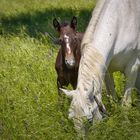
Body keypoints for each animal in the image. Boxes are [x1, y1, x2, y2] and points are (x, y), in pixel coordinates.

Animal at [60, 0, 140, 135]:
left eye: (89, 119)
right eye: (72, 119)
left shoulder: (132, 67)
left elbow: (125, 103)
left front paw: (125, 126)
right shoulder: (107, 69)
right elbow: (113, 99)